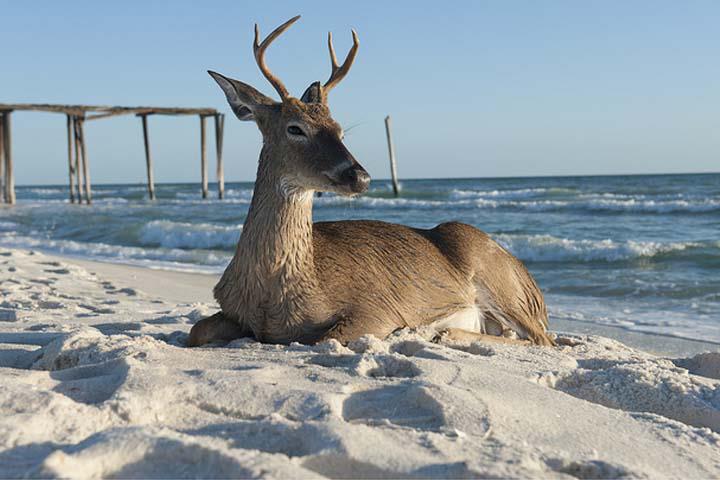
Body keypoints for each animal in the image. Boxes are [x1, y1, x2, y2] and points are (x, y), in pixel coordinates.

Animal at [188, 14, 556, 344]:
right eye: (295, 128)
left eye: (340, 130)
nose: (360, 177)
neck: (274, 290)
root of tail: (535, 289)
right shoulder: (236, 312)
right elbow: (196, 330)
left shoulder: (376, 308)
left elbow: (324, 337)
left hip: (500, 281)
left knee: (542, 339)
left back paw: (439, 331)